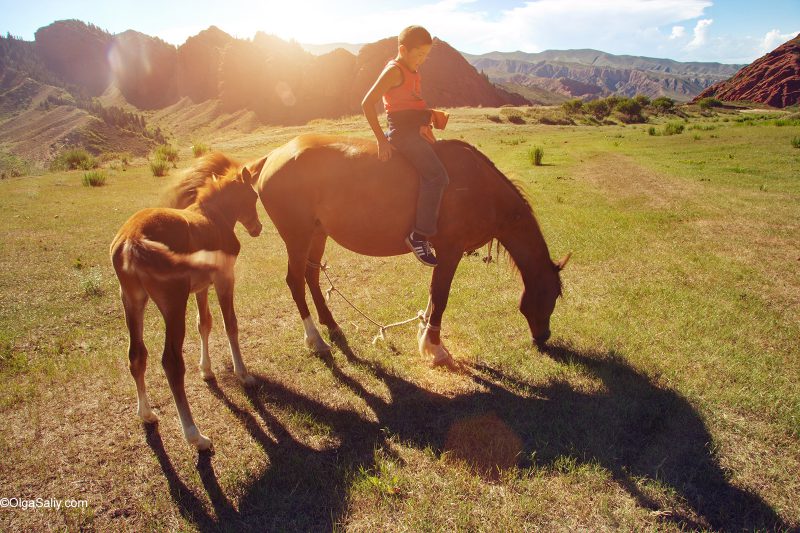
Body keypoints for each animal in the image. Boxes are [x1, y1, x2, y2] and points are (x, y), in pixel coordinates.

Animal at [111, 154, 260, 448]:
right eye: (254, 196)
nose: (258, 228)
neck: (214, 217)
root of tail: (132, 240)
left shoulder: (201, 287)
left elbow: (204, 323)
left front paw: (206, 370)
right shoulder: (224, 279)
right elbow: (230, 324)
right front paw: (243, 374)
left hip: (132, 301)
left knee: (136, 355)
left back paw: (146, 414)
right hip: (173, 303)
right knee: (171, 362)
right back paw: (195, 435)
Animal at [250, 134, 568, 366]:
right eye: (551, 295)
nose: (544, 336)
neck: (480, 187)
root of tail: (271, 158)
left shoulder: (442, 254)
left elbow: (433, 295)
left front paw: (426, 334)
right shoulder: (450, 251)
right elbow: (440, 296)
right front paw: (435, 348)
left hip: (317, 234)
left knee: (311, 277)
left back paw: (331, 324)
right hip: (297, 237)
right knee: (295, 281)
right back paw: (315, 339)